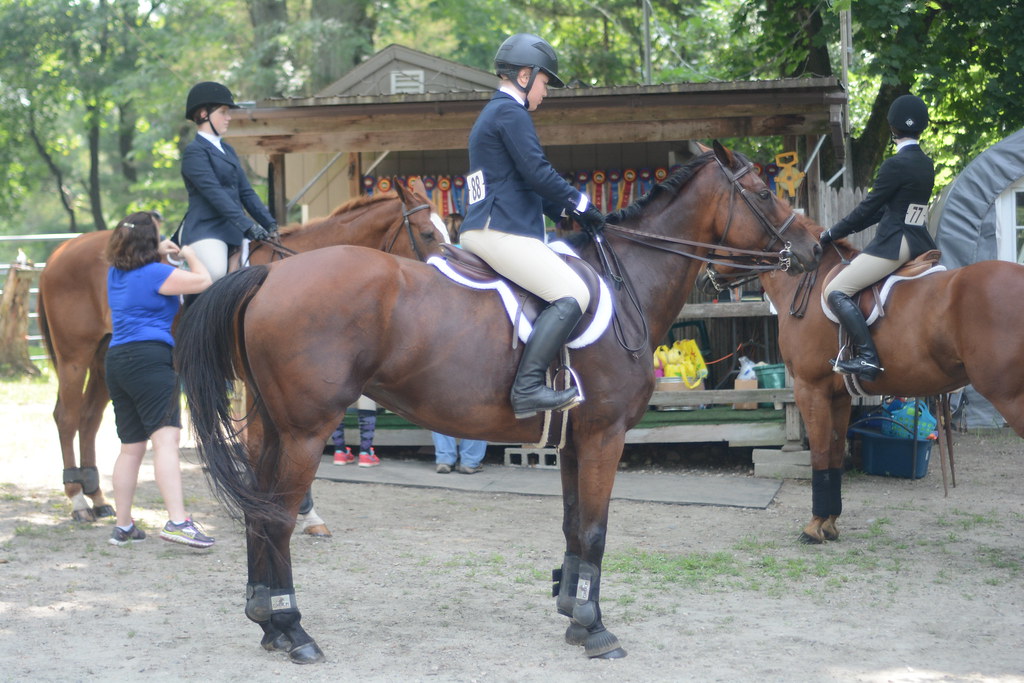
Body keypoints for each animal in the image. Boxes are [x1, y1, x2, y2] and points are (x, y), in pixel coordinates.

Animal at [36, 179, 447, 522]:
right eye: (428, 233)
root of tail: (63, 250)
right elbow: (265, 444)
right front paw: (289, 508)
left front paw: (300, 511)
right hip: (75, 356)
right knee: (67, 417)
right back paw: (77, 499)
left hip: (106, 358)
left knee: (89, 418)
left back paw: (98, 498)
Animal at [172, 142, 821, 663]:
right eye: (765, 192)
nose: (817, 245)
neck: (627, 281)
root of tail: (271, 277)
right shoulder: (606, 435)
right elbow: (596, 531)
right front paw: (596, 629)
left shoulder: (574, 441)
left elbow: (573, 525)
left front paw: (573, 615)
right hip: (306, 431)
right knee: (277, 517)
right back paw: (294, 630)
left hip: (269, 427)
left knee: (259, 511)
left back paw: (268, 624)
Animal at [707, 229, 1024, 543]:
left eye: (720, 240)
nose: (705, 275)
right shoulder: (838, 395)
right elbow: (834, 453)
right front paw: (829, 523)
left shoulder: (810, 389)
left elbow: (819, 454)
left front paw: (813, 527)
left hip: (1010, 397)